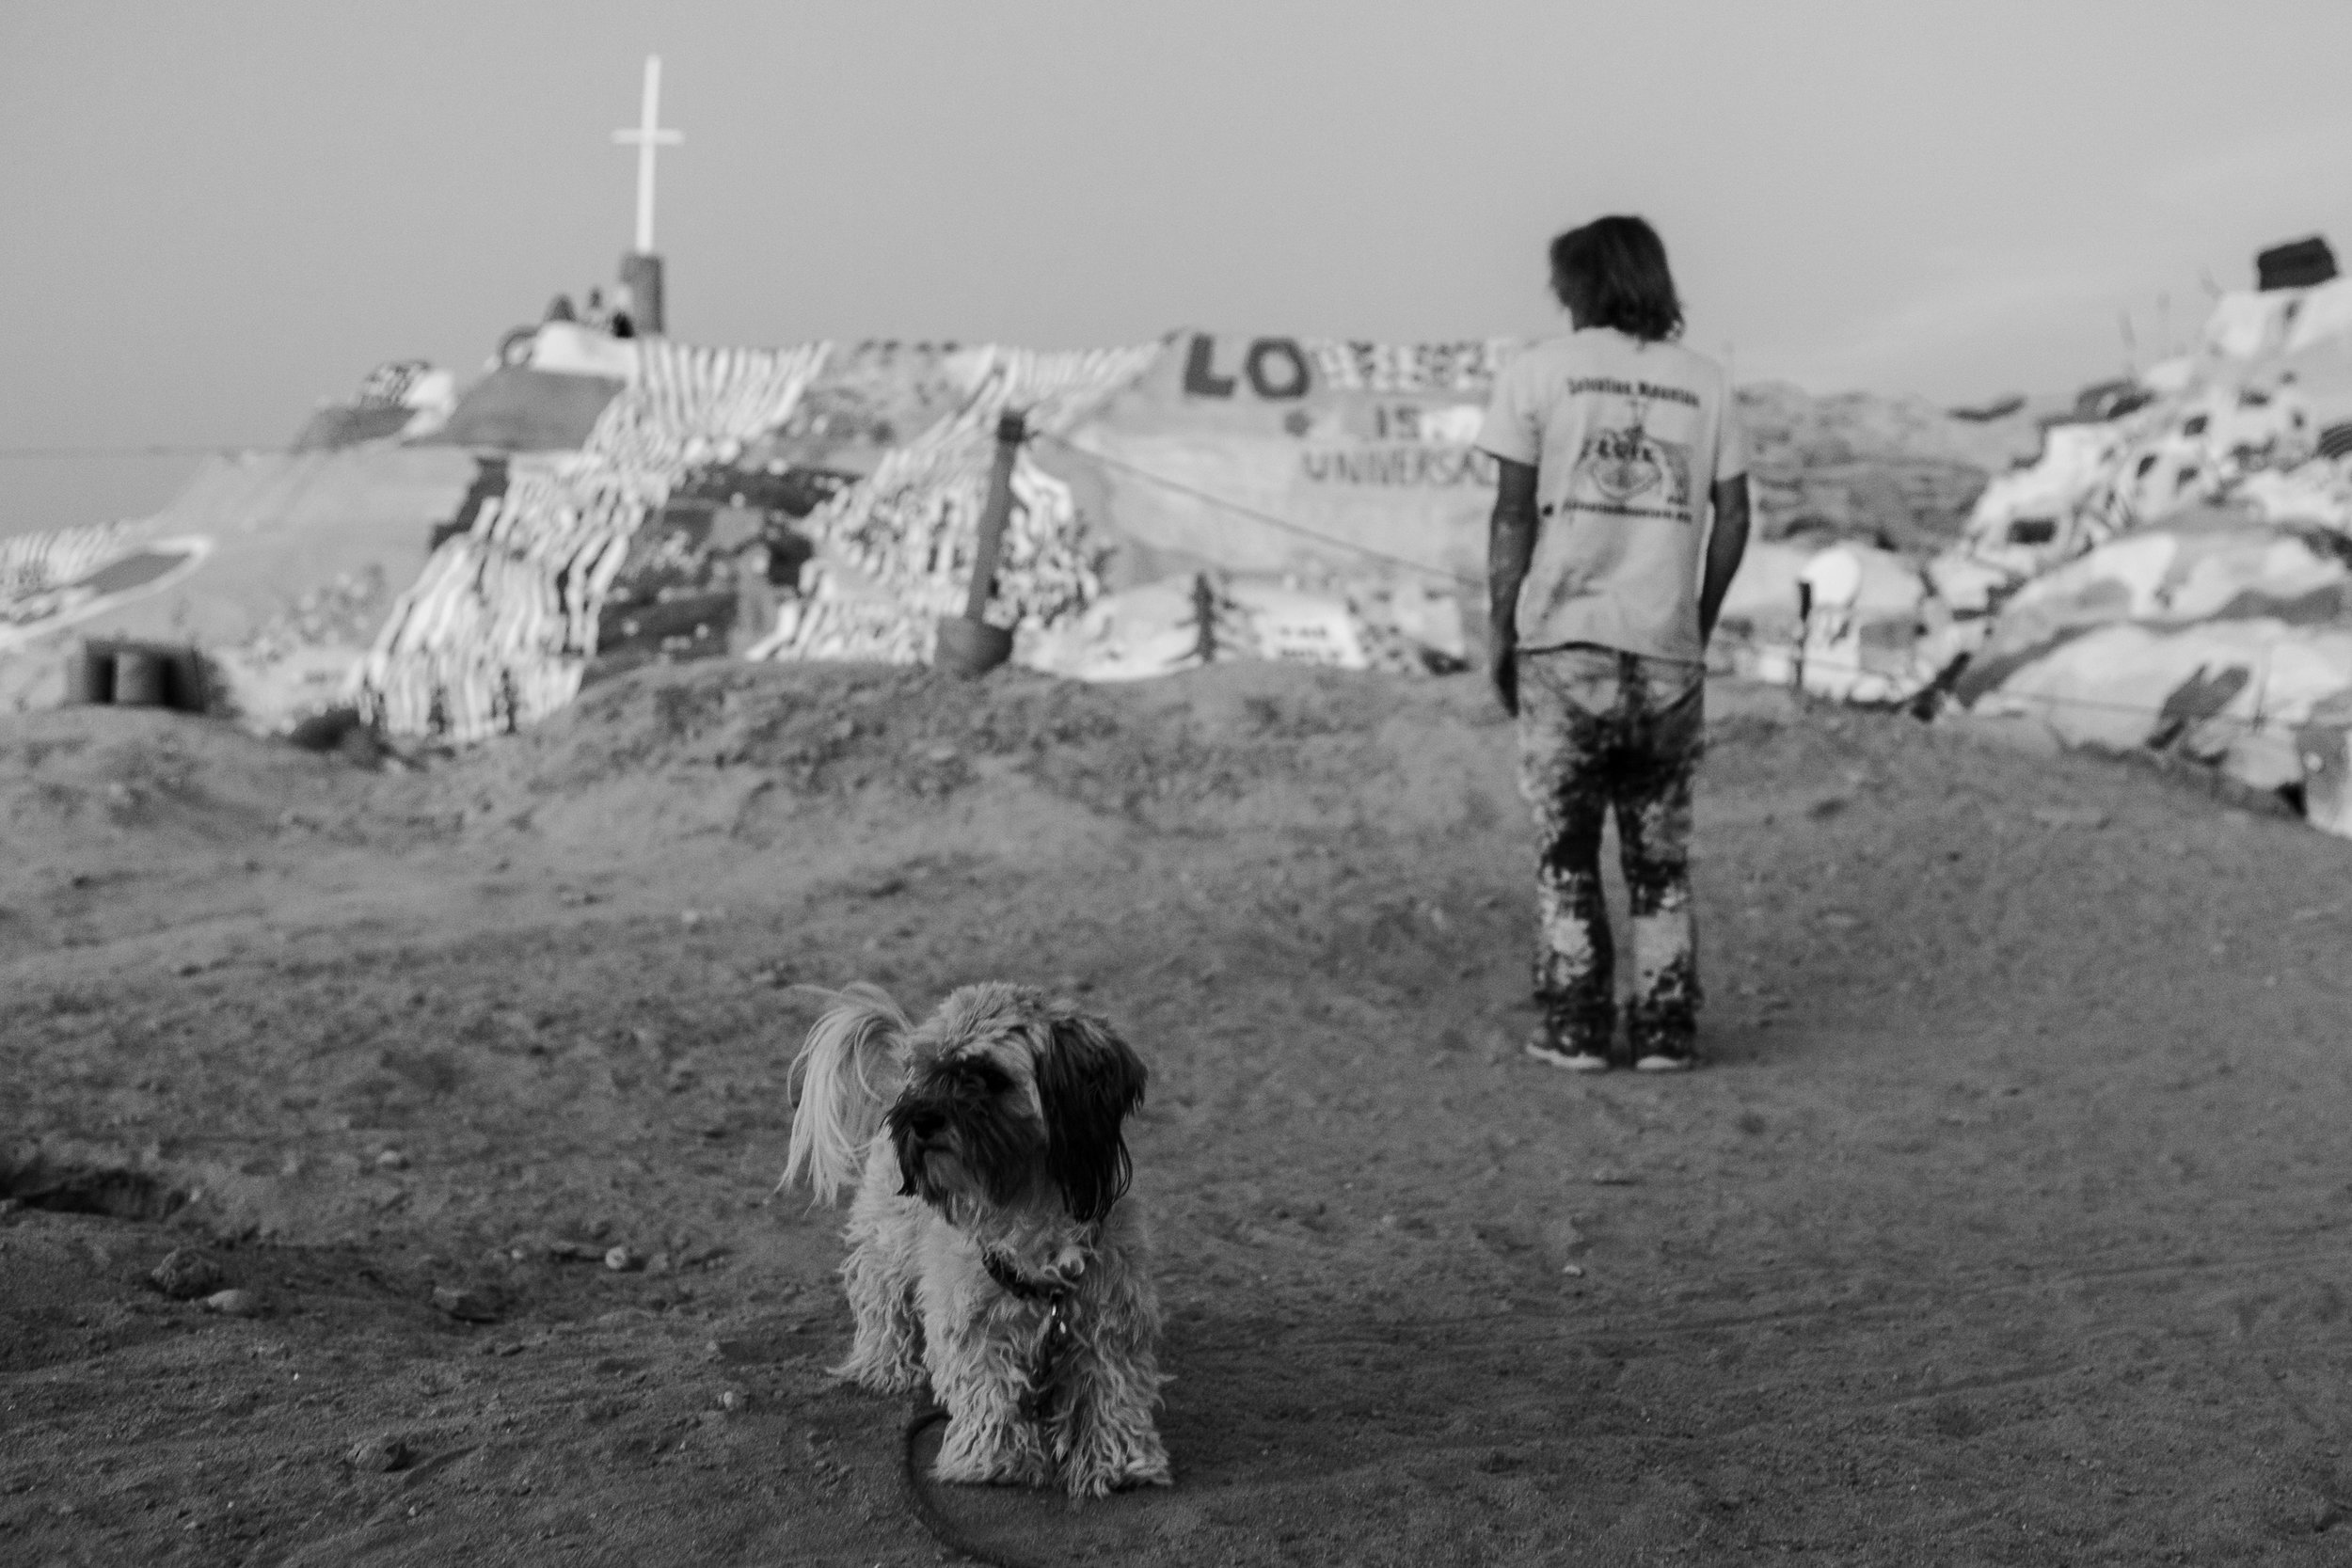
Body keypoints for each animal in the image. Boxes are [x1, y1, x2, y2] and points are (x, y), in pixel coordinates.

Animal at [786, 982, 1171, 1495]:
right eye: (929, 1072)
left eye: (990, 1076)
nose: (919, 1117)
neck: (1026, 1205)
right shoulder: (972, 1321)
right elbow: (988, 1386)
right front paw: (995, 1459)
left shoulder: (1109, 1318)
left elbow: (1112, 1388)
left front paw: (1120, 1461)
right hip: (888, 1240)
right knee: (881, 1300)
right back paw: (883, 1366)